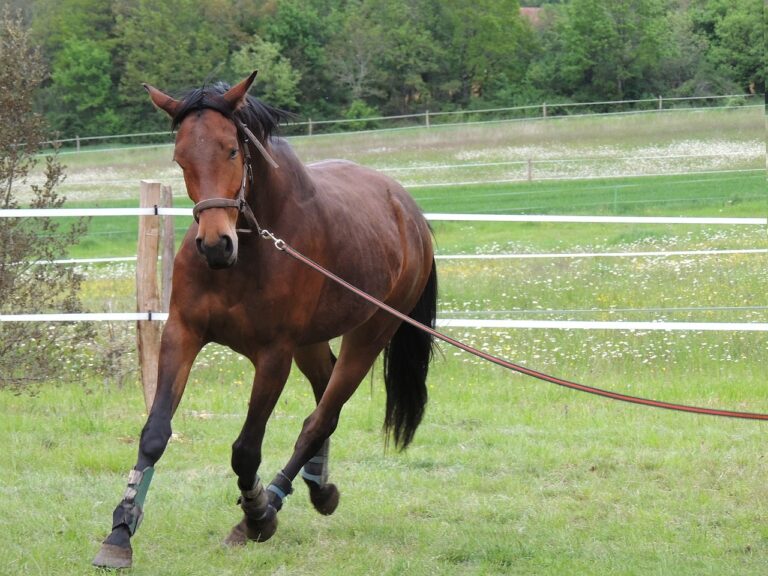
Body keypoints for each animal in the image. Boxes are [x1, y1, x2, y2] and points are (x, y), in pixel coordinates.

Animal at [91, 71, 438, 568]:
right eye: (180, 157)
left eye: (232, 150)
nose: (215, 245)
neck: (249, 252)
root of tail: (409, 211)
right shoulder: (182, 333)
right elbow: (154, 433)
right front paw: (120, 533)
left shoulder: (273, 357)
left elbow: (245, 451)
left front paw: (256, 516)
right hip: (312, 342)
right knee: (323, 397)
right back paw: (318, 487)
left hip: (370, 334)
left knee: (321, 418)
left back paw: (272, 500)